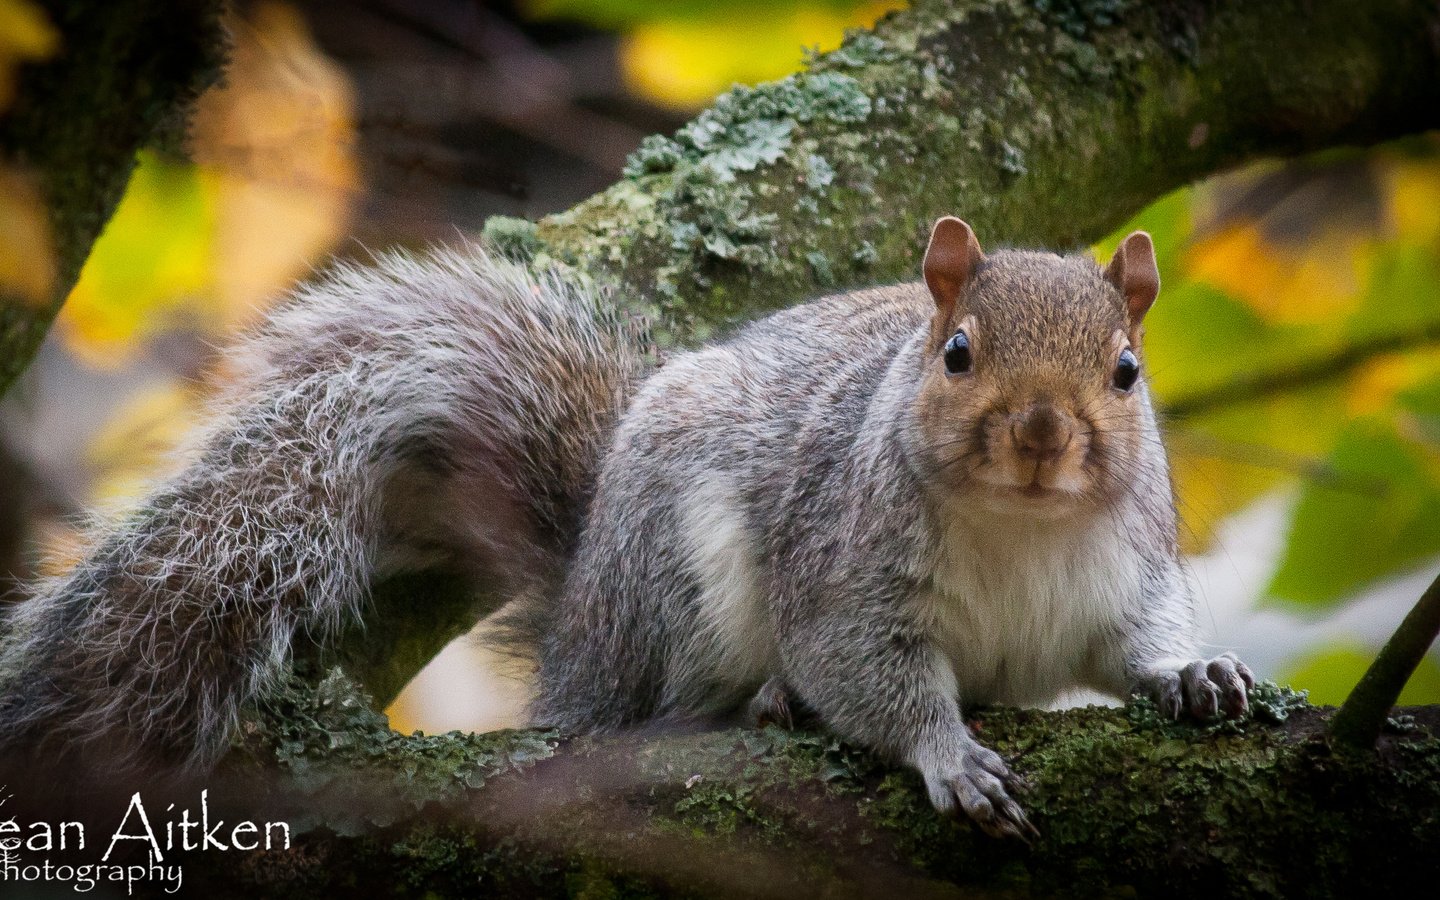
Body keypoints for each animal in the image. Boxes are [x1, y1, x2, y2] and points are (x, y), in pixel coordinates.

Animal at [0, 216, 1249, 835]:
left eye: (1128, 372)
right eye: (956, 354)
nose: (1040, 436)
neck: (1017, 527)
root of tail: (581, 615)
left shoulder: (1126, 575)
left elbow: (1135, 646)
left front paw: (1193, 675)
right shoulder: (844, 582)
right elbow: (870, 676)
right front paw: (949, 756)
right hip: (672, 581)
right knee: (657, 706)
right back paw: (760, 700)